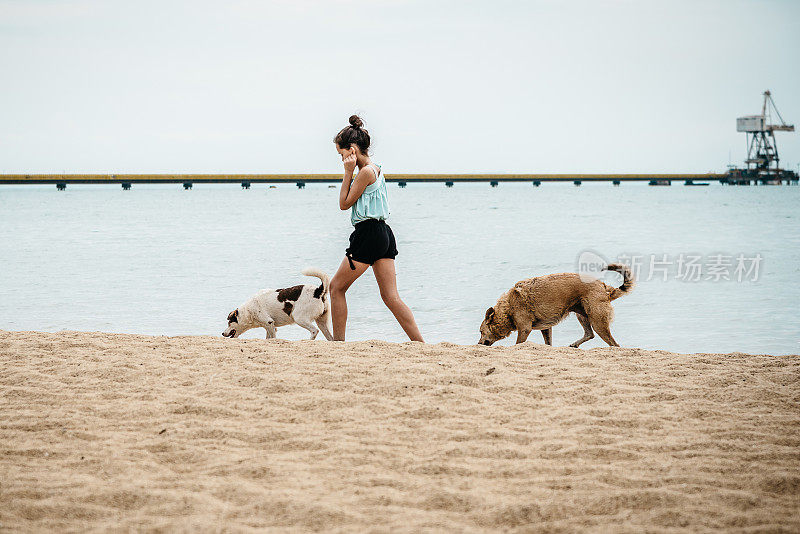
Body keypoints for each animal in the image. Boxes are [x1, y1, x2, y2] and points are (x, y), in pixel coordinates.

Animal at [478, 266, 636, 350]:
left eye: (481, 331)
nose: (478, 344)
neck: (508, 306)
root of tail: (604, 287)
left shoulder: (524, 329)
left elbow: (518, 343)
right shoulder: (546, 328)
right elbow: (548, 343)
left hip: (598, 322)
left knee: (613, 344)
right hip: (582, 315)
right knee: (589, 334)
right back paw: (574, 345)